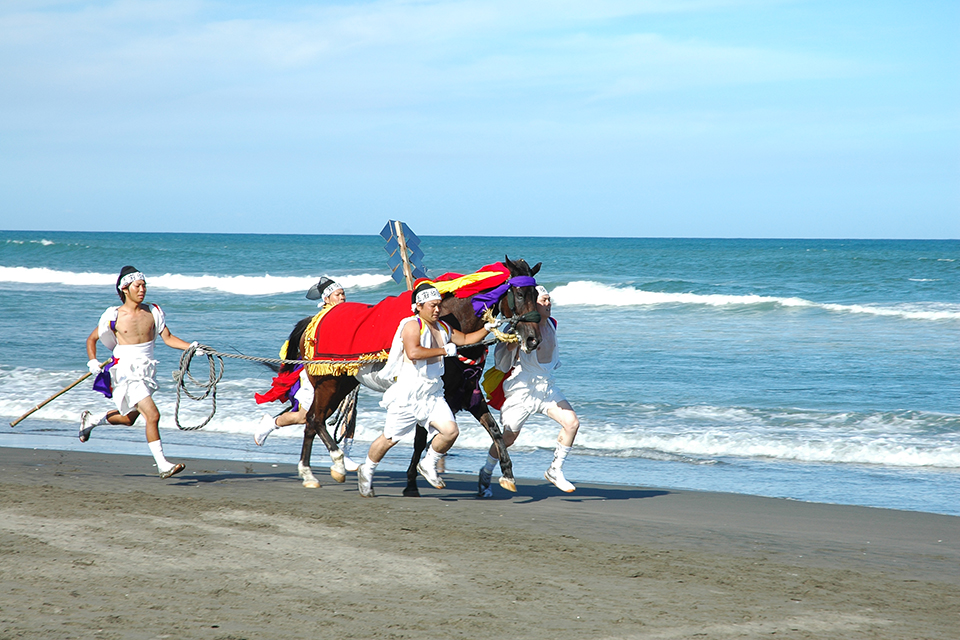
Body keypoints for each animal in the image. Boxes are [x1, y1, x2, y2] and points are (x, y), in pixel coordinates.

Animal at [287, 256, 543, 492]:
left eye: (535, 293)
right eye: (519, 293)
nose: (534, 339)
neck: (452, 320)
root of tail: (314, 320)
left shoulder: (468, 392)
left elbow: (495, 431)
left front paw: (507, 474)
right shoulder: (429, 395)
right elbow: (420, 440)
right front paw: (412, 482)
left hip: (341, 385)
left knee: (312, 421)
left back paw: (309, 473)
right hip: (328, 384)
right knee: (315, 419)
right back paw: (338, 463)